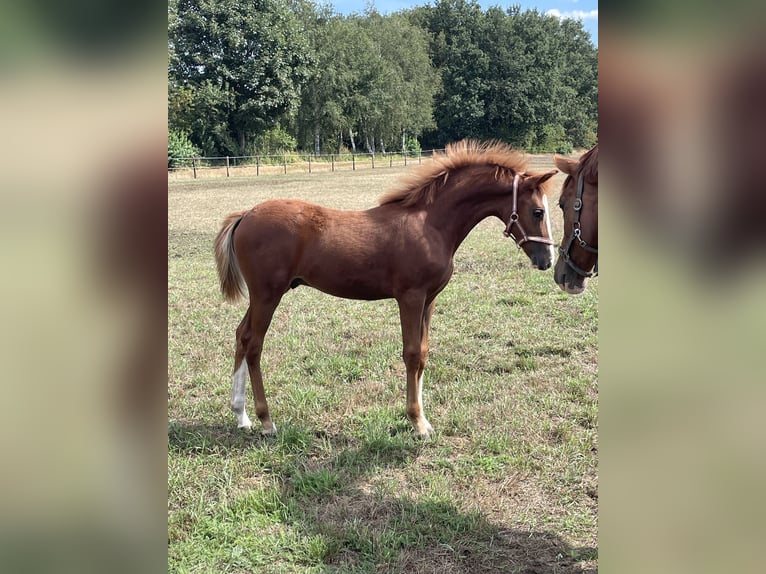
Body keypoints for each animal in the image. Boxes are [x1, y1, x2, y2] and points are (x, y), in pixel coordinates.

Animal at [214, 140, 557, 438]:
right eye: (538, 212)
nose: (547, 260)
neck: (431, 224)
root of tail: (245, 215)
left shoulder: (430, 299)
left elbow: (424, 352)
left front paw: (423, 417)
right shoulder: (410, 297)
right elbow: (411, 354)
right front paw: (417, 422)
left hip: (263, 296)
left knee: (241, 335)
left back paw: (241, 414)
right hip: (268, 295)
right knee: (254, 344)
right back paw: (266, 421)